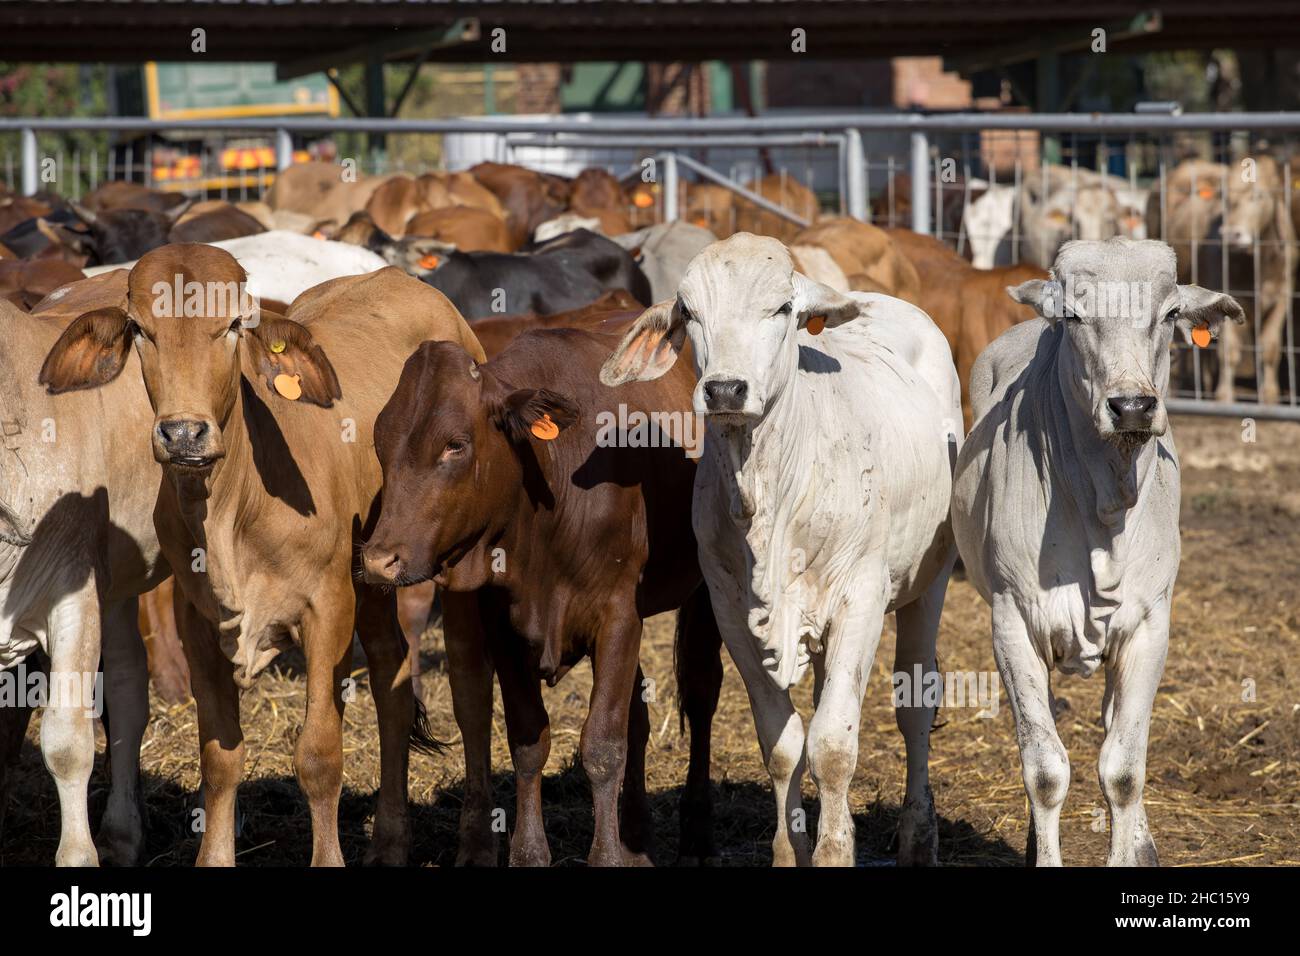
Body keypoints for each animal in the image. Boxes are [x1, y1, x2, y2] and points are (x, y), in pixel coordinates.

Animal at [37, 246, 484, 866]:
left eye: (232, 325)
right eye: (140, 329)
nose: (183, 434)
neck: (233, 507)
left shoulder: (327, 610)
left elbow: (319, 757)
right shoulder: (196, 622)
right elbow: (220, 758)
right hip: (372, 579)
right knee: (393, 680)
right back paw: (392, 841)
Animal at [361, 322, 722, 866]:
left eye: (455, 445)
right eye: (381, 442)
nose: (380, 559)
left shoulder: (618, 616)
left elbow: (602, 745)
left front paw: (606, 856)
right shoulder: (503, 628)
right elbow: (530, 740)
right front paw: (530, 853)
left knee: (700, 695)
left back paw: (697, 838)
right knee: (638, 713)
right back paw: (637, 837)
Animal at [600, 233, 962, 866]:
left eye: (781, 309)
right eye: (689, 312)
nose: (724, 389)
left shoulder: (860, 601)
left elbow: (835, 746)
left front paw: (835, 851)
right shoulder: (733, 614)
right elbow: (785, 744)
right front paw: (793, 847)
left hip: (929, 581)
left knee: (914, 707)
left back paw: (918, 835)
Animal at [951, 238, 1245, 866]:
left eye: (1170, 313)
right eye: (1073, 316)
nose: (1131, 407)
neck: (1103, 506)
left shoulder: (1150, 625)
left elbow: (1124, 770)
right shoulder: (1012, 622)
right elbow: (1044, 770)